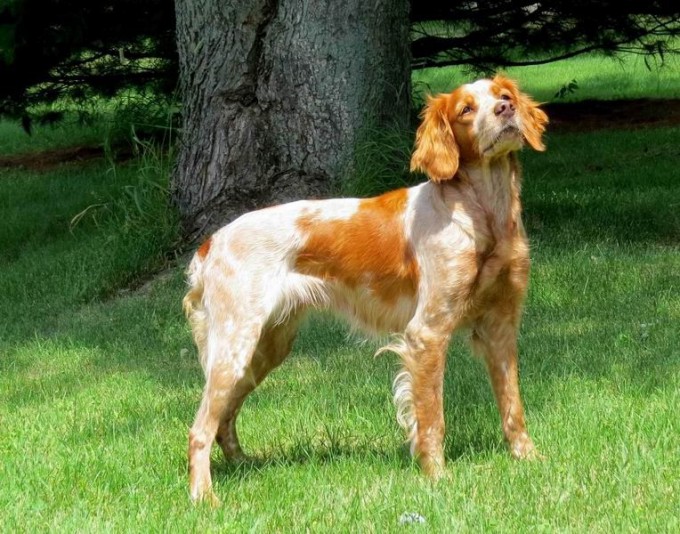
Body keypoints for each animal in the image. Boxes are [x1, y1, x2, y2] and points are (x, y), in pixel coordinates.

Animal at [181, 75, 548, 506]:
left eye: (503, 96)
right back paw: (204, 497)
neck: (483, 214)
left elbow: (513, 407)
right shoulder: (427, 333)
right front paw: (437, 478)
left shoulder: (501, 328)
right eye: (466, 109)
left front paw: (529, 460)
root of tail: (212, 241)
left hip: (266, 348)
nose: (506, 110)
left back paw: (242, 464)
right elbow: (432, 419)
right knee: (200, 428)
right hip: (235, 345)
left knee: (224, 416)